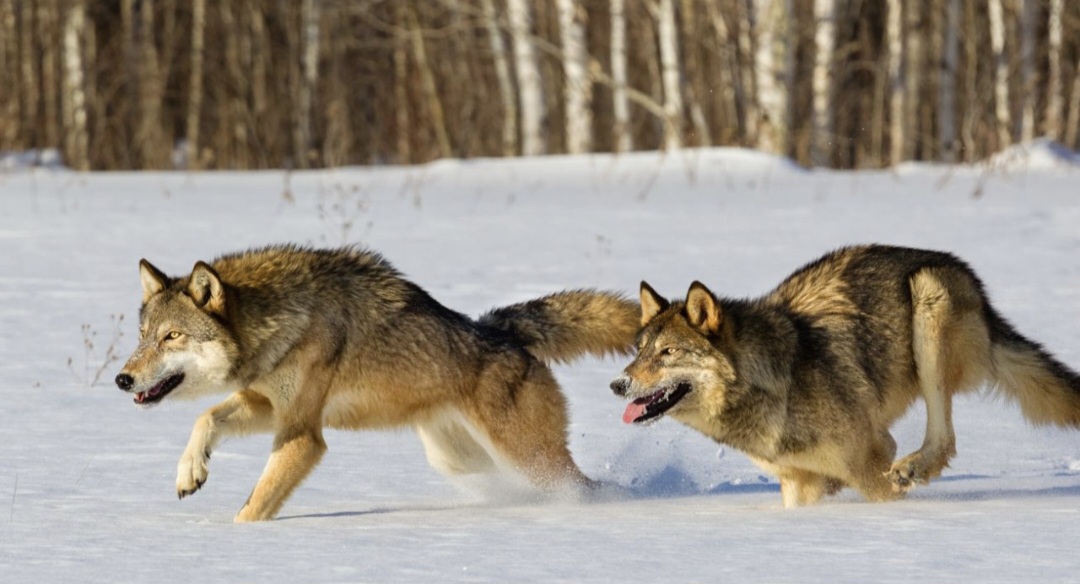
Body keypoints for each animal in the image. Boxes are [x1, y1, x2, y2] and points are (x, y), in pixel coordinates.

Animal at [116, 243, 639, 522]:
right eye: (142, 337)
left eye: (171, 336)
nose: (122, 379)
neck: (281, 320)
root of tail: (502, 330)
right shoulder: (270, 406)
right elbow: (206, 418)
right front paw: (191, 472)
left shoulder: (303, 435)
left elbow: (255, 503)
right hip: (459, 460)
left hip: (526, 456)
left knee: (581, 485)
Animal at [609, 242, 1080, 505]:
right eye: (639, 351)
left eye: (668, 353)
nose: (617, 384)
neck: (772, 387)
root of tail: (966, 274)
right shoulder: (798, 484)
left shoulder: (870, 457)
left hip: (927, 301)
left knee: (944, 438)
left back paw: (914, 468)